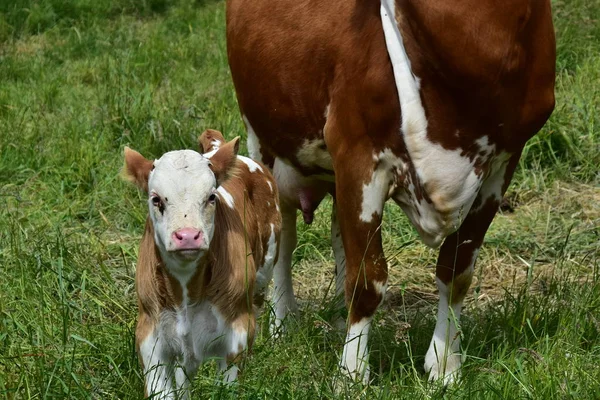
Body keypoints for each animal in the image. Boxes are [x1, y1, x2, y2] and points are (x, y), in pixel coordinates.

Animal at [123, 130, 282, 396]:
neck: (187, 291)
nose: (188, 235)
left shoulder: (237, 333)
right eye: (156, 199)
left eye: (211, 197)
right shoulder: (150, 335)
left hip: (264, 270)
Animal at [227, 0, 556, 384]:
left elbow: (456, 271)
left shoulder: (503, 163)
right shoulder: (357, 151)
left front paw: (445, 365)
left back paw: (336, 316)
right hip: (264, 140)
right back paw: (284, 324)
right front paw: (352, 374)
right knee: (283, 238)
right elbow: (367, 280)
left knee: (337, 235)